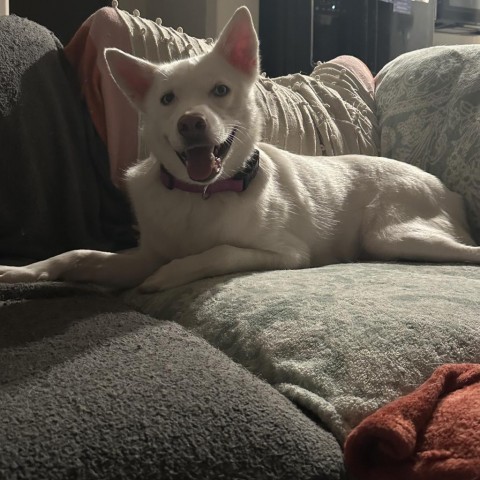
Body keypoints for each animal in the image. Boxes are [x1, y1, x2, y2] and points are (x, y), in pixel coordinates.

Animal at [0, 8, 480, 292]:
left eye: (220, 90)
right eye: (167, 99)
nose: (191, 123)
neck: (201, 195)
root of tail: (446, 189)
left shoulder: (286, 254)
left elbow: (215, 253)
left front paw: (164, 278)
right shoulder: (141, 254)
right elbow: (78, 254)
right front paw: (22, 271)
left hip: (391, 235)